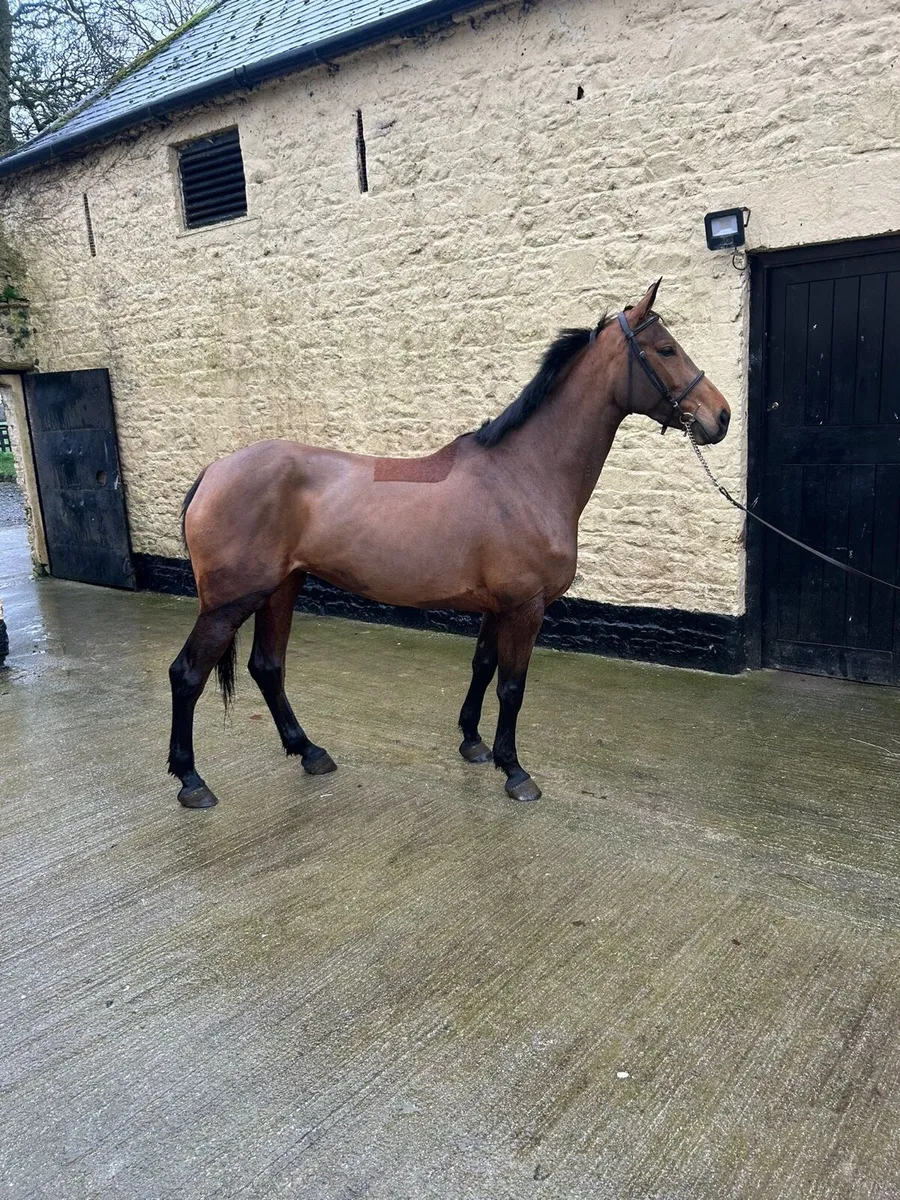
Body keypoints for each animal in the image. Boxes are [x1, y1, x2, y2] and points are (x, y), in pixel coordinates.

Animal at [168, 280, 731, 809]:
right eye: (665, 349)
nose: (721, 416)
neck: (524, 475)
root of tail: (214, 470)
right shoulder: (525, 607)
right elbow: (512, 686)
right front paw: (515, 771)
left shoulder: (497, 607)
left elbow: (482, 668)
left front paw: (473, 744)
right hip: (231, 600)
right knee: (187, 674)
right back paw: (192, 781)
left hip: (281, 588)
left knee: (268, 667)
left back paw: (309, 751)